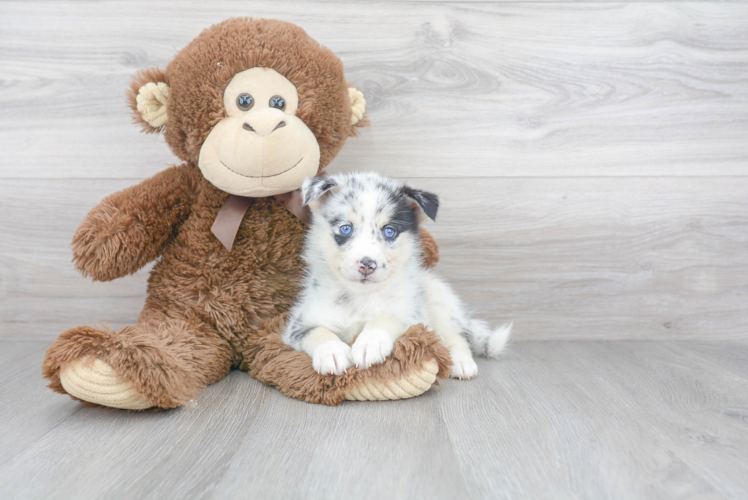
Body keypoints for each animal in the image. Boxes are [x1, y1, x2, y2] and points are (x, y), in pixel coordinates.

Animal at [284, 170, 512, 376]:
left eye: (389, 231)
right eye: (345, 228)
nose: (367, 264)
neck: (360, 297)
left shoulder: (413, 319)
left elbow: (387, 317)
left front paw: (370, 343)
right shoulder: (297, 324)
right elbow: (316, 331)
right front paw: (330, 352)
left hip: (440, 304)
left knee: (456, 337)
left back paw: (461, 362)